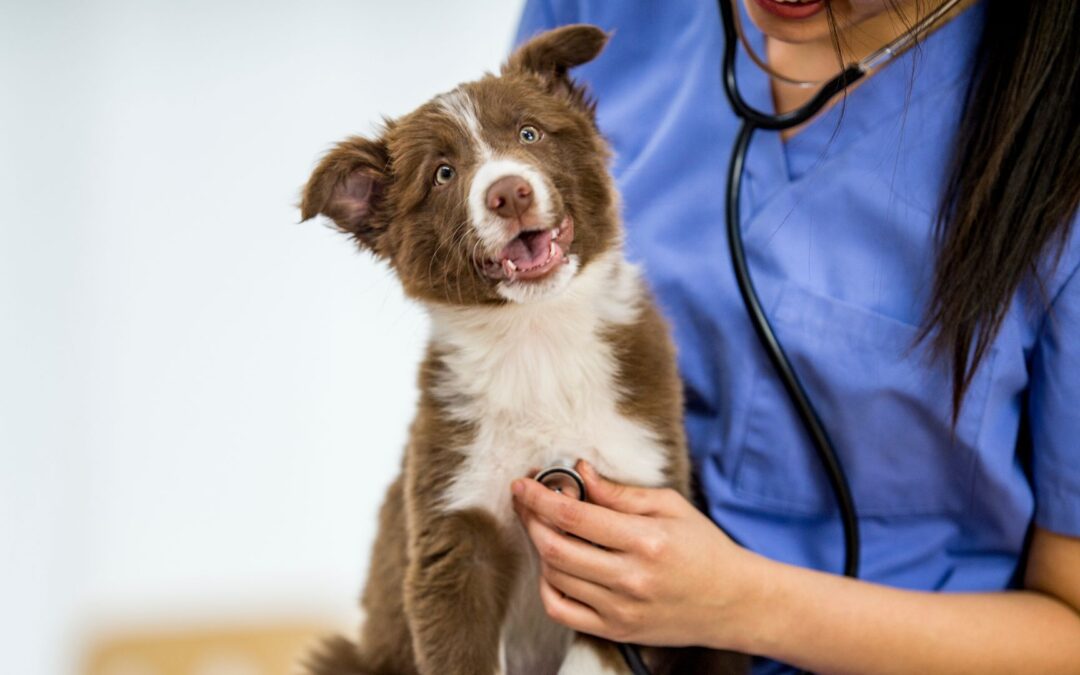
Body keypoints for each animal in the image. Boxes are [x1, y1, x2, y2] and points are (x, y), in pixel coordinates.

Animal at [300, 23, 738, 673]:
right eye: (443, 174)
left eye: (530, 133)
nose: (509, 192)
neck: (537, 338)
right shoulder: (455, 530)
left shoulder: (627, 517)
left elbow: (596, 653)